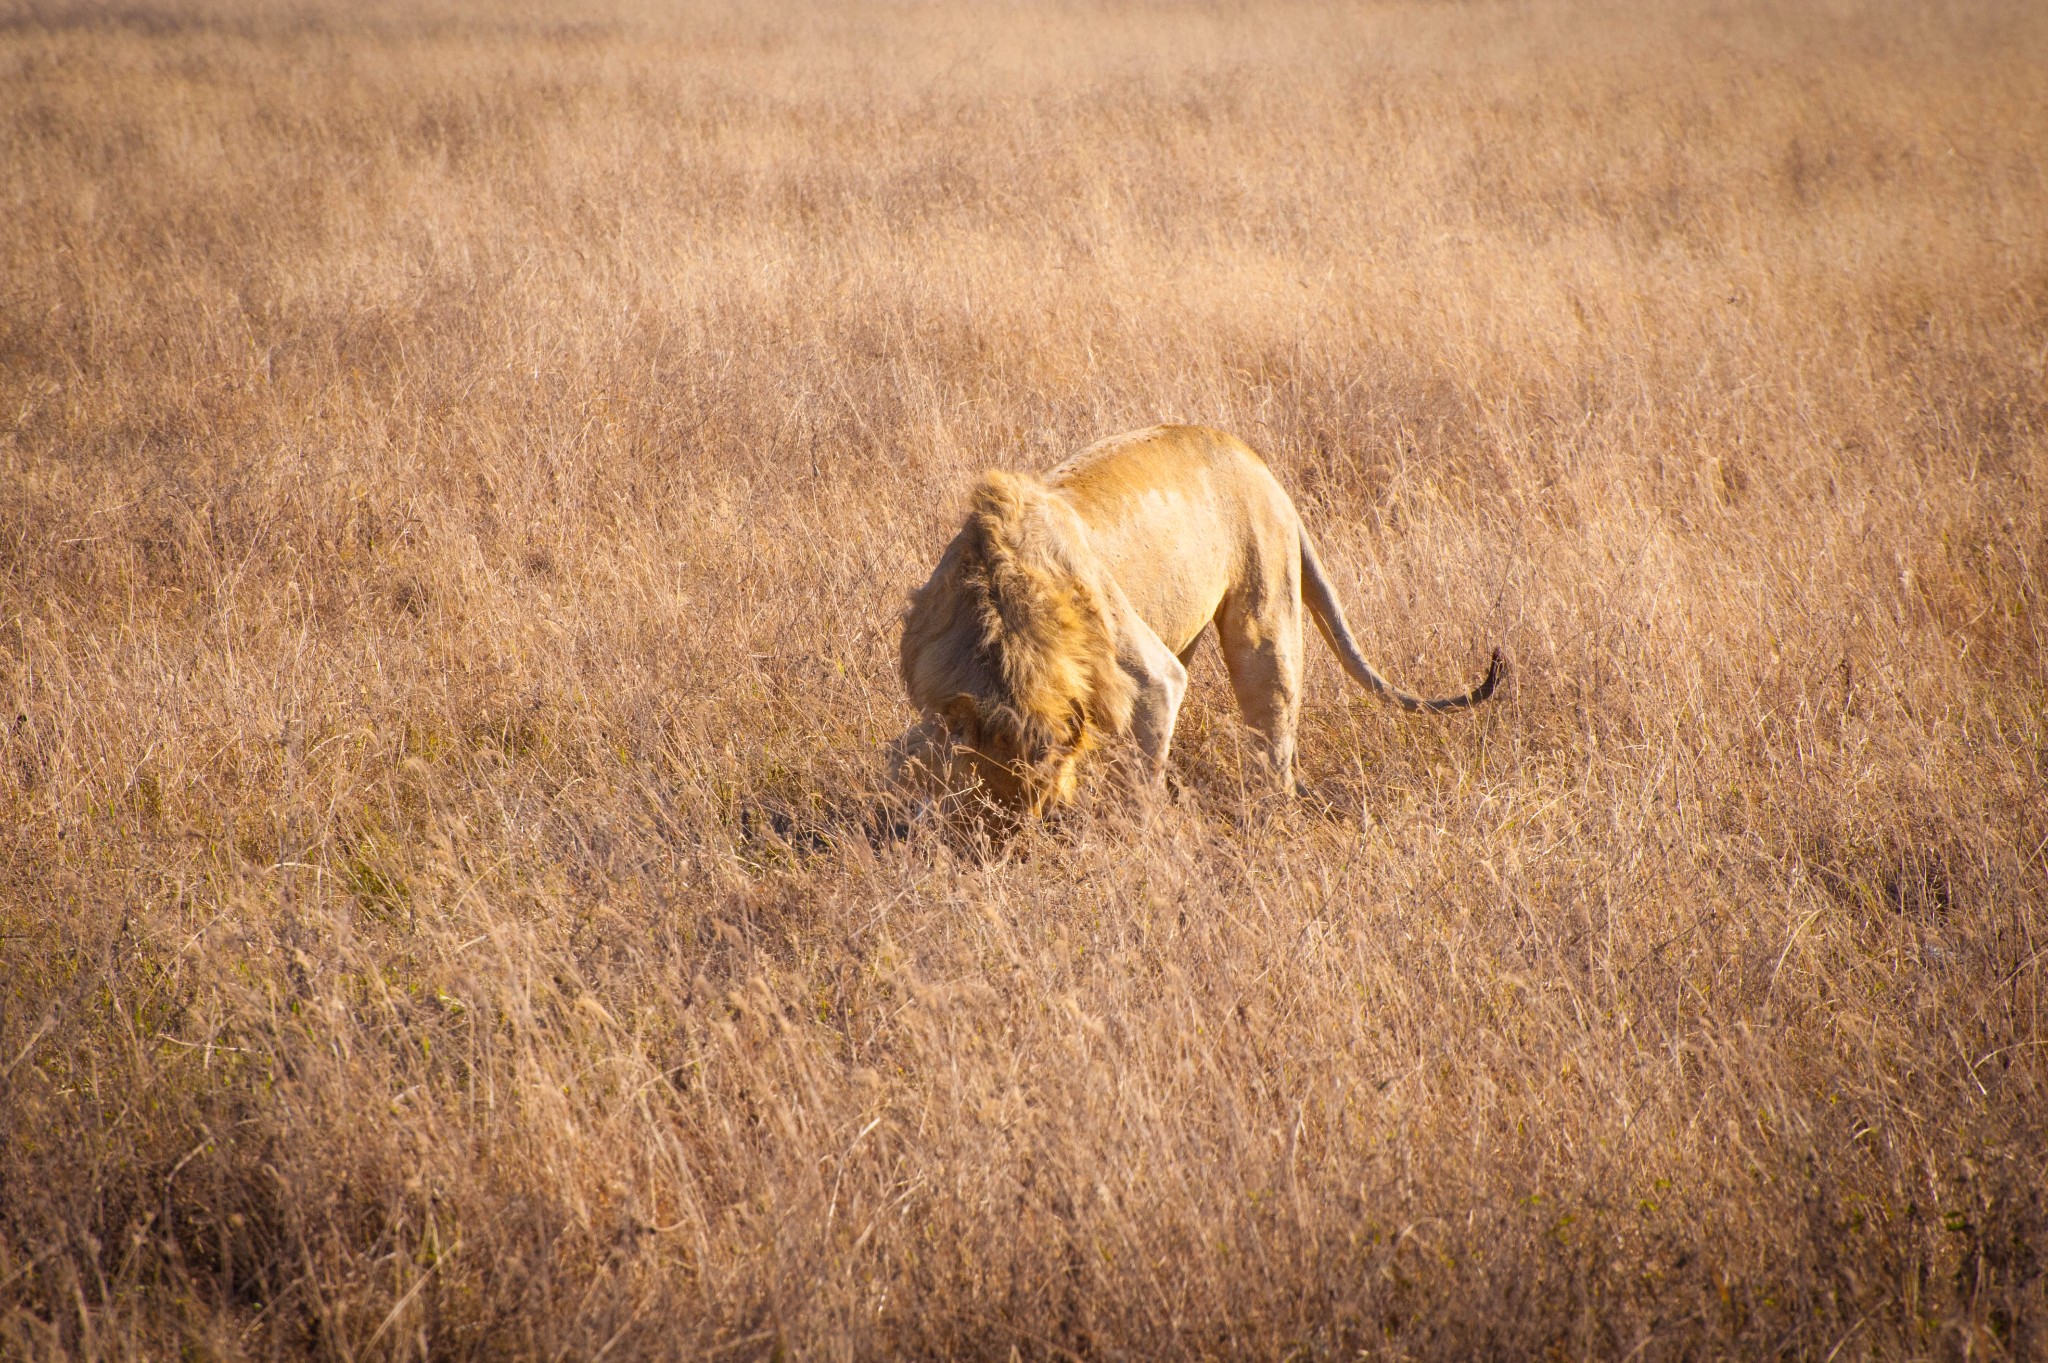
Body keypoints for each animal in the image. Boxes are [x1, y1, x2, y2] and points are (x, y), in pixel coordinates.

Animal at [897, 419, 1507, 810]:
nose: (1022, 838)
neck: (1002, 630)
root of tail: (1254, 460)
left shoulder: (1149, 678)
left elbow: (1141, 780)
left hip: (1264, 604)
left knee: (1273, 725)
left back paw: (1271, 814)